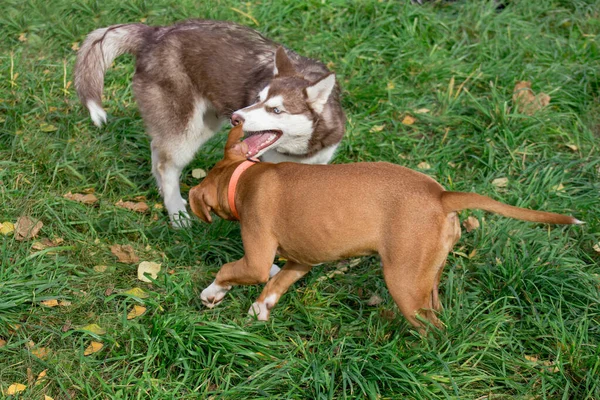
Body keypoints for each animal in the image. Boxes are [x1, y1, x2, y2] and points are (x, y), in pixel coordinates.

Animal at [189, 126, 580, 332]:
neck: (244, 178)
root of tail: (441, 195)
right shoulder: (302, 261)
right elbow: (275, 285)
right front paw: (260, 310)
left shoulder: (256, 260)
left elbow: (232, 270)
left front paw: (211, 293)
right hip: (427, 276)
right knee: (437, 311)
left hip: (403, 281)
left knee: (434, 331)